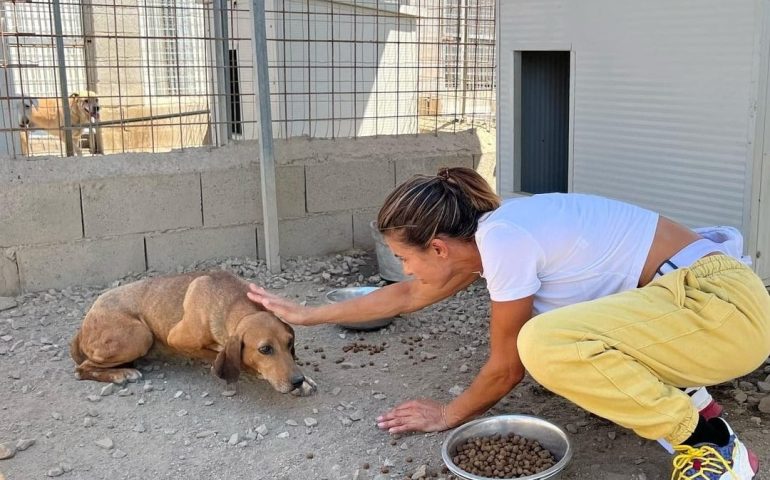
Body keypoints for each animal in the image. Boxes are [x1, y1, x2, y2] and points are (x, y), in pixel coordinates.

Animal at [70, 272, 316, 396]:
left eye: (290, 344)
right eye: (265, 349)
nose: (297, 380)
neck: (232, 301)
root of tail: (83, 325)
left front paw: (305, 380)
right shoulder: (177, 339)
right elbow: (224, 358)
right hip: (141, 335)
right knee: (81, 370)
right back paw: (122, 373)